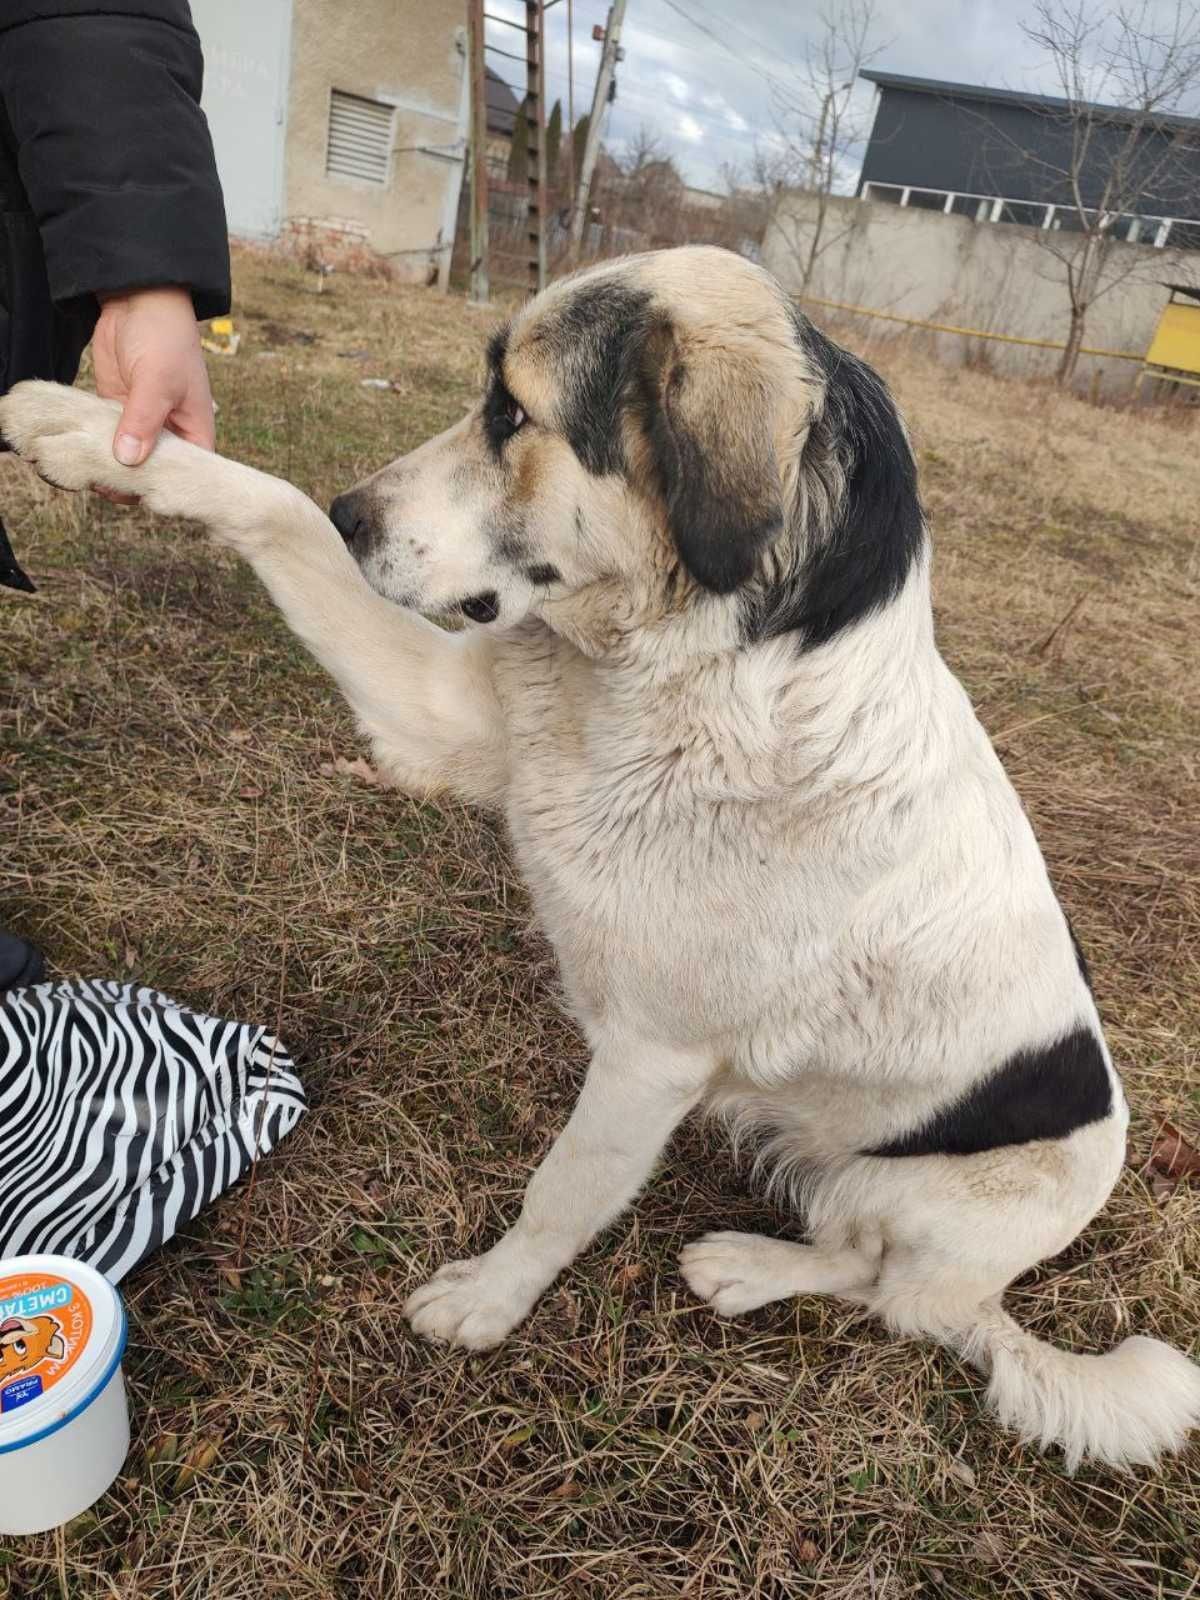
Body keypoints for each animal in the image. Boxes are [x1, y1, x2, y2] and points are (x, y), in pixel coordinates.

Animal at [4, 243, 1196, 1465]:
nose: (354, 515)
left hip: (925, 1198)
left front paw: (489, 1301)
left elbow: (562, 1194)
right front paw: (89, 428)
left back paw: (751, 1268)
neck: (688, 674)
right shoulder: (435, 708)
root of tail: (998, 1288)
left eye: (509, 412)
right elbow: (271, 503)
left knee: (890, 1292)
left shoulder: (647, 1061)